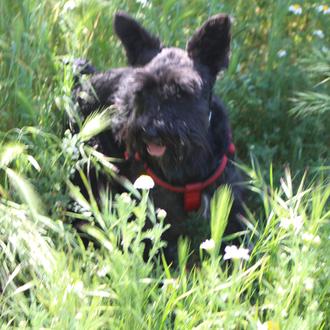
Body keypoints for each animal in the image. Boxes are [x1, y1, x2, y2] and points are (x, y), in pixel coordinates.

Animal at [71, 12, 245, 255]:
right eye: (142, 90)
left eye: (182, 92)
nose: (150, 131)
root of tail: (84, 82)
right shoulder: (160, 212)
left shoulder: (228, 202)